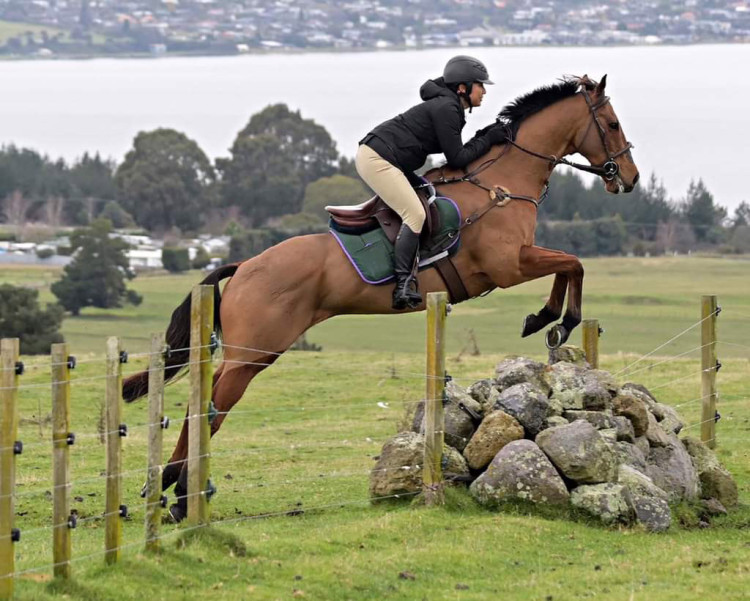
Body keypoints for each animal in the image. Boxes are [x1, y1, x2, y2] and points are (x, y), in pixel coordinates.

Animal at [123, 75, 640, 516]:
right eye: (613, 124)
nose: (629, 179)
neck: (502, 183)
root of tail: (245, 267)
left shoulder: (517, 262)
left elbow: (570, 264)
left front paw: (545, 320)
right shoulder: (509, 264)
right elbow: (573, 263)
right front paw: (553, 320)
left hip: (253, 354)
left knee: (204, 402)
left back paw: (167, 487)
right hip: (252, 353)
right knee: (208, 408)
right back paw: (179, 495)